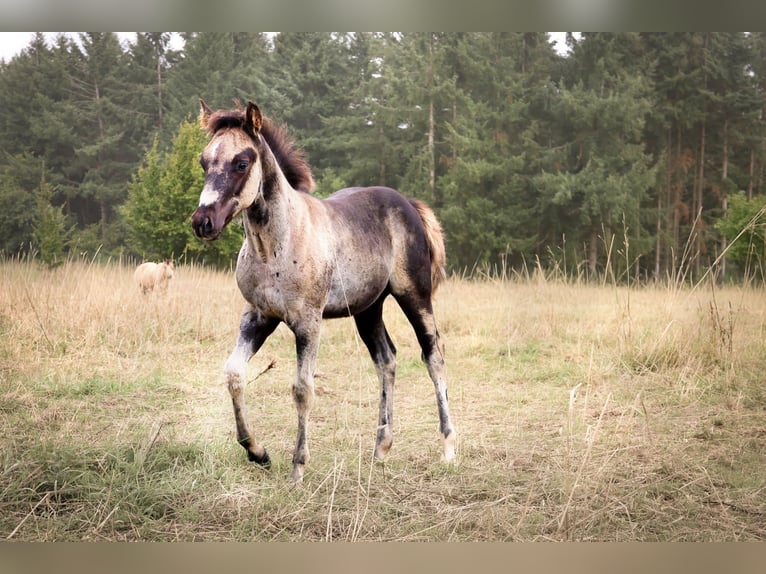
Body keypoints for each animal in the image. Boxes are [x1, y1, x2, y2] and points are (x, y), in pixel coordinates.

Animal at [191, 100, 456, 482]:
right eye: (204, 161)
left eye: (242, 162)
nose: (203, 222)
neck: (275, 247)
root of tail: (407, 202)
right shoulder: (258, 316)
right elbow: (234, 374)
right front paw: (257, 452)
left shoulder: (308, 322)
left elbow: (303, 389)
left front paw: (298, 467)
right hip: (368, 309)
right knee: (386, 360)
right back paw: (381, 449)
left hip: (414, 296)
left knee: (433, 355)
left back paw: (448, 448)